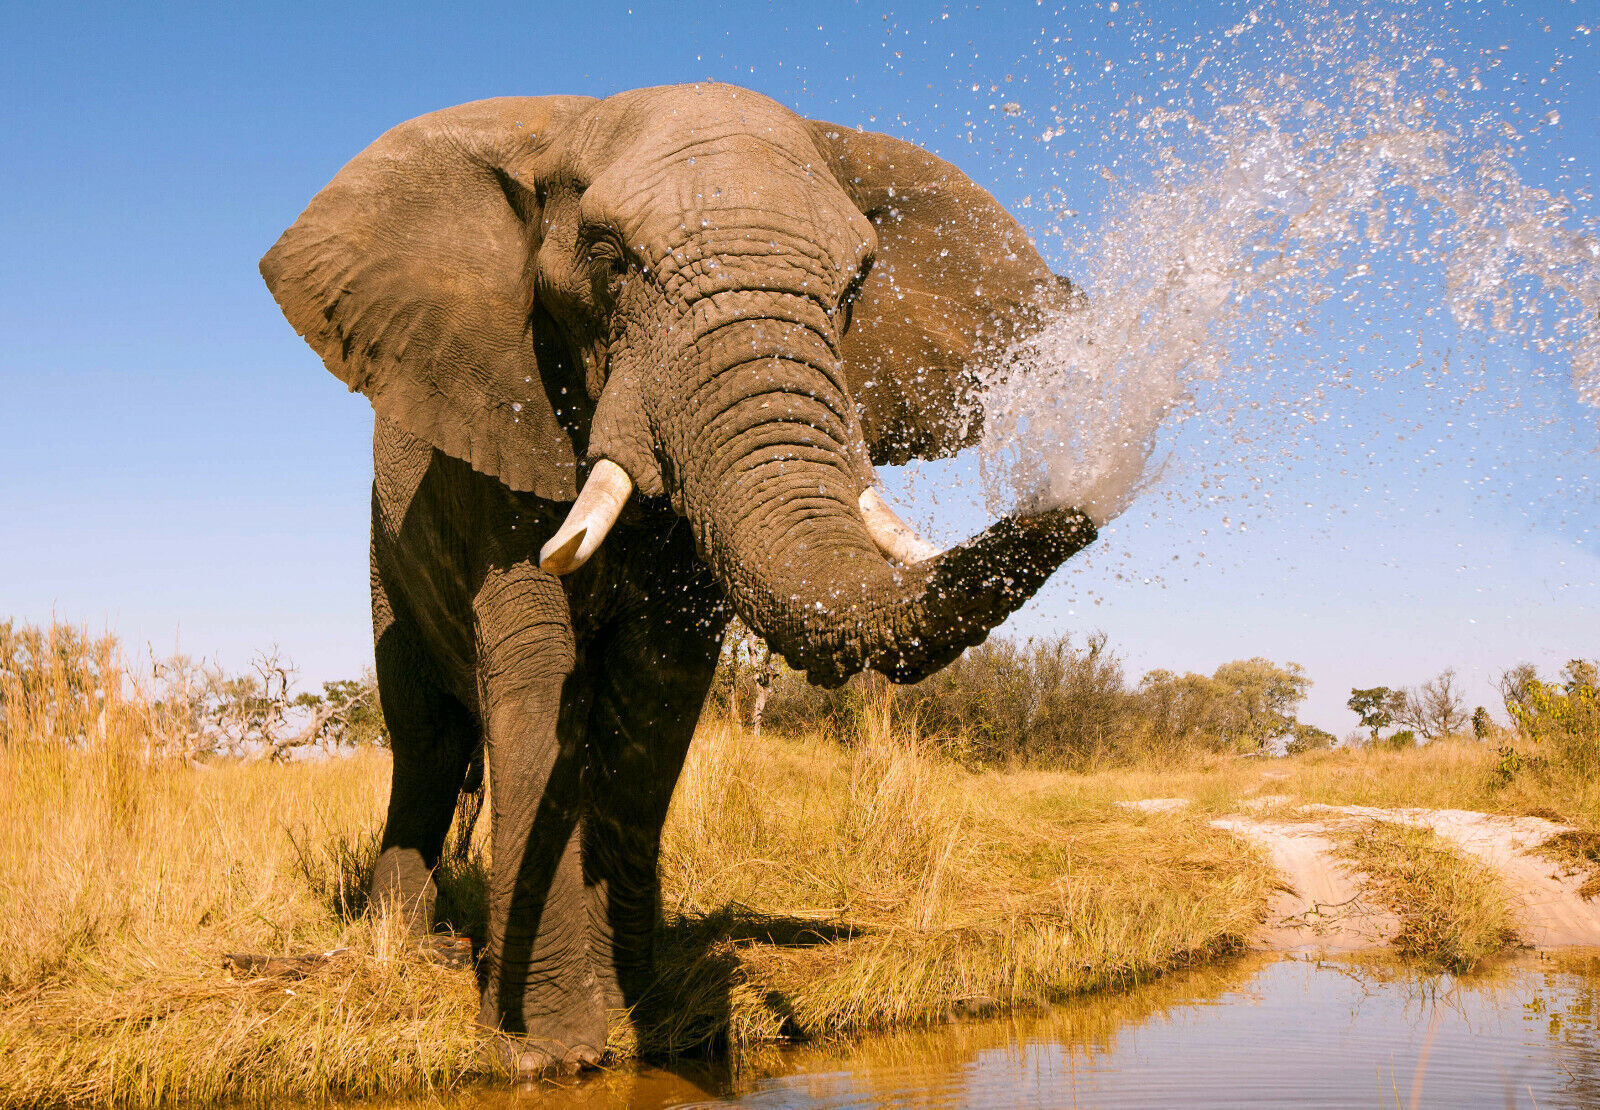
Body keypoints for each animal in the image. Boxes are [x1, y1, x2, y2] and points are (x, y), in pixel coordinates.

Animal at [260, 82, 1096, 1073]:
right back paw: (404, 945)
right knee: (424, 735)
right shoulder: (499, 415)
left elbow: (655, 687)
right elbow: (537, 671)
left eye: (856, 285)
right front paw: (551, 1050)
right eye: (609, 262)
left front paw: (653, 1019)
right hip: (385, 551)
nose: (1081, 501)